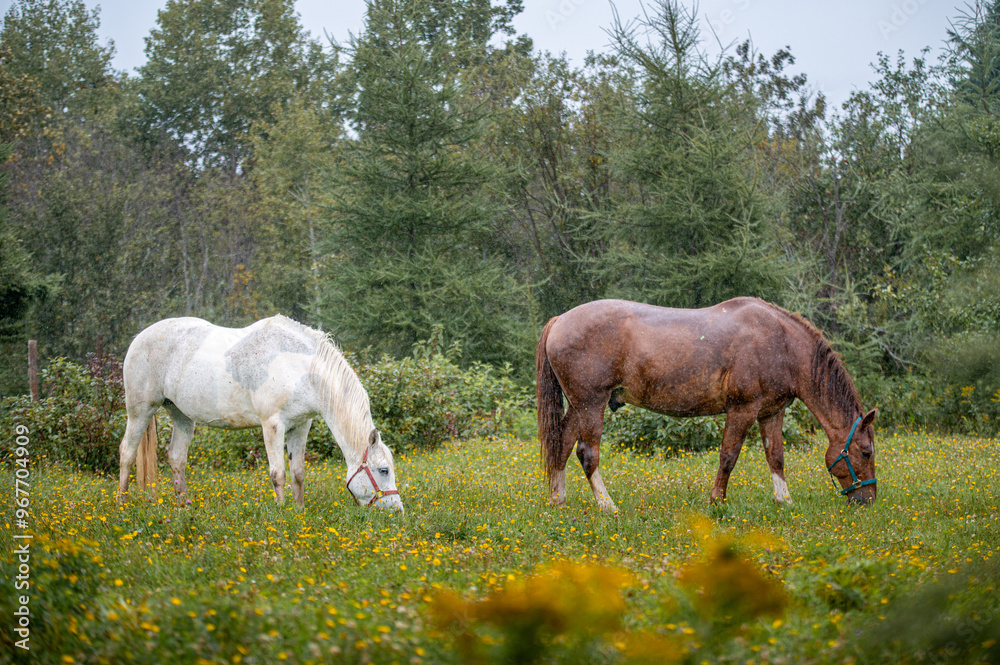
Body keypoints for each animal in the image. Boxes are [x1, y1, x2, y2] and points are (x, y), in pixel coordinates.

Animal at [117, 315, 404, 512]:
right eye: (383, 470)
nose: (397, 511)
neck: (300, 367)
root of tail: (139, 337)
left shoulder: (301, 425)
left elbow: (298, 473)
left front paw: (299, 510)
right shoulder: (272, 425)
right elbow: (278, 473)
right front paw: (282, 512)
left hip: (181, 416)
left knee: (176, 457)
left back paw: (183, 505)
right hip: (140, 410)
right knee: (127, 452)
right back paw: (122, 502)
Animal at [536, 298, 877, 511]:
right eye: (865, 452)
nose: (869, 499)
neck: (781, 343)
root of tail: (559, 321)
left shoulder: (771, 412)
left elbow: (776, 457)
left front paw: (784, 501)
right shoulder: (742, 410)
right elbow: (728, 457)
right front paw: (717, 501)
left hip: (578, 406)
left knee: (562, 446)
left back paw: (558, 501)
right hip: (591, 404)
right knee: (587, 453)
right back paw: (607, 506)